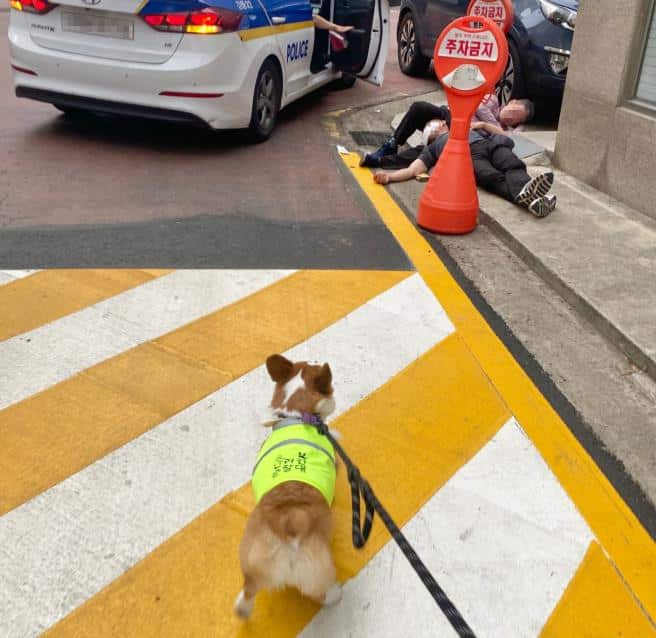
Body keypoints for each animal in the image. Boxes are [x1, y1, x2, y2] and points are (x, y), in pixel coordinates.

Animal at [234, 356, 340, 620]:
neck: (297, 414)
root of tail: (290, 521)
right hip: (318, 566)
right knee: (318, 592)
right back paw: (335, 594)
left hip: (250, 559)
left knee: (248, 591)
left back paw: (243, 609)